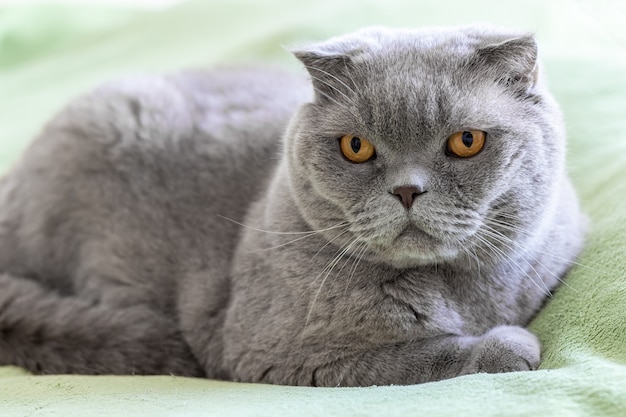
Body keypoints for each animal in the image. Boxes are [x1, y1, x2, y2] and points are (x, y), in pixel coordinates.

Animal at [0, 24, 584, 386]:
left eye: (466, 141)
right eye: (357, 147)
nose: (407, 190)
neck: (461, 291)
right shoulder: (276, 356)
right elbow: (420, 357)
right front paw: (507, 346)